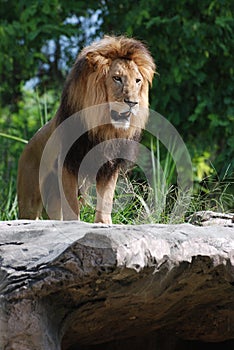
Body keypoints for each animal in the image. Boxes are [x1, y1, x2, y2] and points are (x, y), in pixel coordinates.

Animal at [17, 35, 156, 224]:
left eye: (137, 81)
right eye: (117, 78)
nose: (133, 103)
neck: (102, 128)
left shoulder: (109, 166)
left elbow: (106, 199)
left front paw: (104, 224)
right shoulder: (68, 162)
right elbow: (71, 203)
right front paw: (74, 223)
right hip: (29, 200)